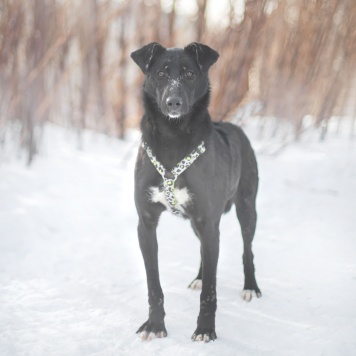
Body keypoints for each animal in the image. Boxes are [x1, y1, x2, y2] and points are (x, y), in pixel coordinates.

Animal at [131, 41, 262, 342]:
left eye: (190, 74)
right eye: (161, 74)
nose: (173, 103)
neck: (172, 138)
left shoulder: (209, 221)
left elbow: (210, 293)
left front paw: (205, 329)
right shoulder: (146, 224)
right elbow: (153, 285)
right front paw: (155, 324)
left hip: (246, 209)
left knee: (247, 250)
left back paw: (250, 286)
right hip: (196, 223)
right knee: (205, 252)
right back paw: (200, 277)